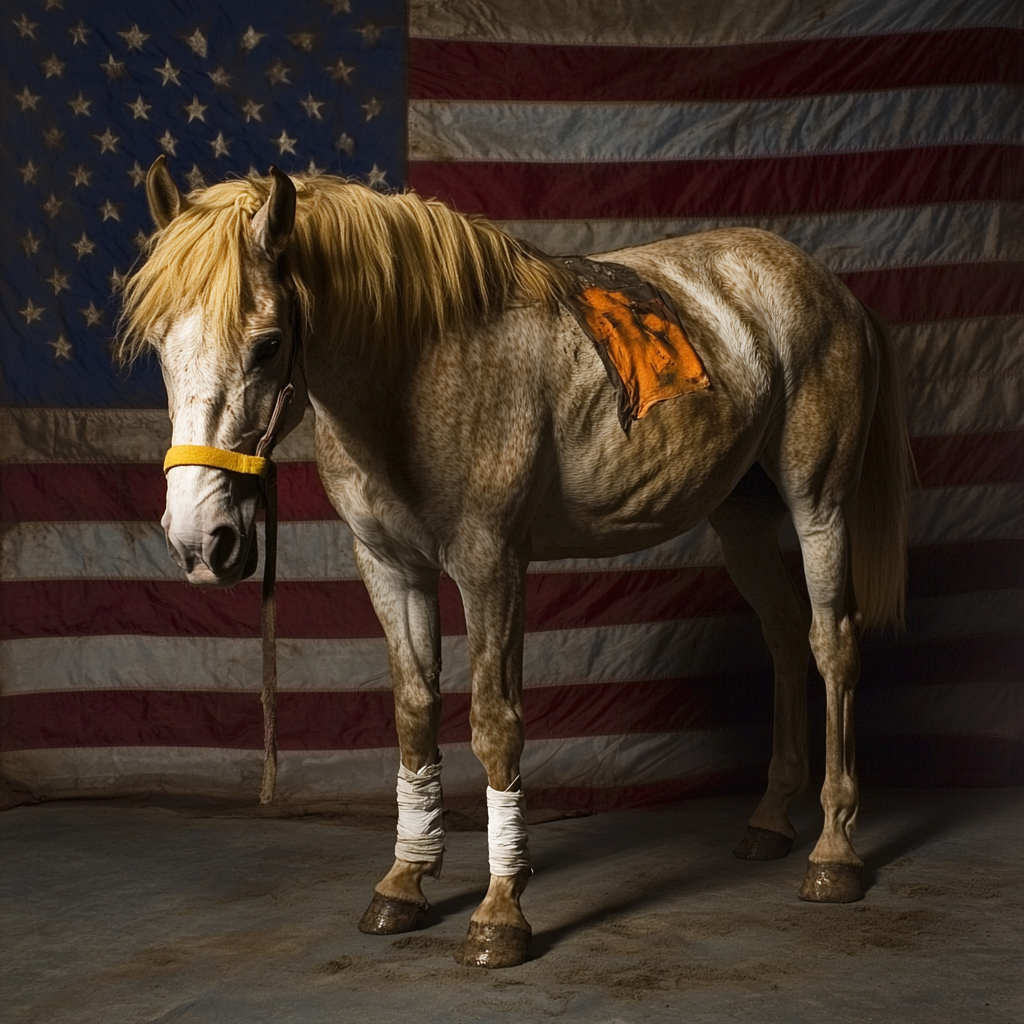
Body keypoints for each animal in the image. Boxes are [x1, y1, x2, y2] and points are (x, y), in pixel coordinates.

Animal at [117, 157, 913, 966]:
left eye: (269, 343)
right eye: (159, 345)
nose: (200, 539)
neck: (419, 366)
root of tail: (834, 289)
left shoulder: (490, 565)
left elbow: (496, 725)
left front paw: (499, 912)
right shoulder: (390, 567)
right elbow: (413, 713)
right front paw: (405, 883)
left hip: (819, 504)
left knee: (831, 644)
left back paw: (833, 852)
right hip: (742, 518)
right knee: (784, 636)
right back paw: (770, 819)